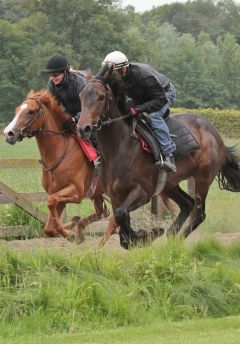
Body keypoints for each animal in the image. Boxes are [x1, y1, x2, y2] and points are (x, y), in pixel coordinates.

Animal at [3, 90, 110, 243]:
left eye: (30, 111)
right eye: (17, 110)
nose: (8, 133)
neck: (58, 154)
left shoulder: (76, 192)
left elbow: (50, 202)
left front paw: (67, 232)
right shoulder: (58, 194)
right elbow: (49, 227)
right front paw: (67, 230)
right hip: (97, 193)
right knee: (103, 212)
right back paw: (78, 227)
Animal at [77, 63, 240, 250]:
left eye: (101, 97)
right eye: (81, 95)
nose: (83, 129)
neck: (119, 148)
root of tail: (216, 135)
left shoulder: (144, 191)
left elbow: (120, 215)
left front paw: (147, 235)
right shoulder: (116, 195)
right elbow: (121, 224)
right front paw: (144, 236)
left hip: (203, 177)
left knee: (199, 212)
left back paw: (177, 240)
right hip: (169, 184)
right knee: (187, 204)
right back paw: (171, 237)